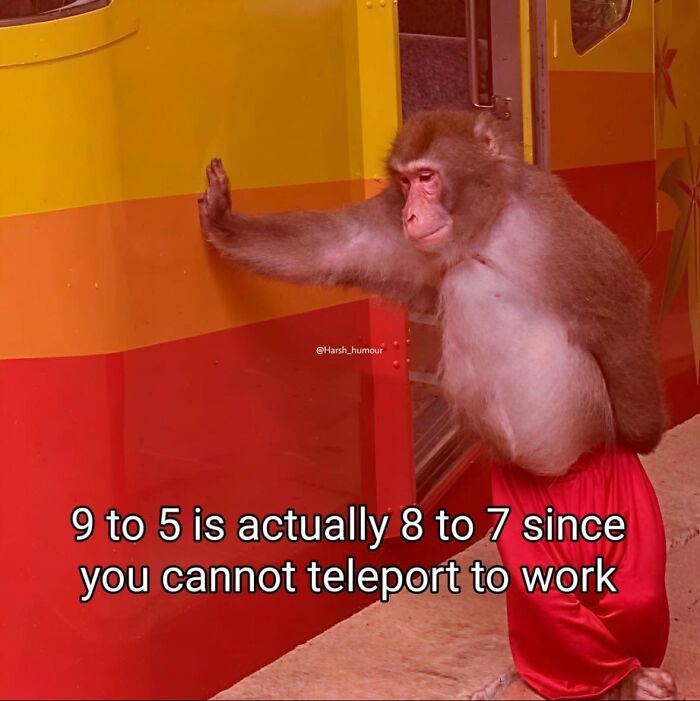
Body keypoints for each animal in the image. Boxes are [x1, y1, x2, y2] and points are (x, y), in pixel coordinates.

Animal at [198, 109, 676, 700]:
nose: (410, 212)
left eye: (427, 178)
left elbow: (619, 305)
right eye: (404, 182)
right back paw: (605, 675)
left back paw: (630, 672)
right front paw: (222, 218)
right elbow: (338, 246)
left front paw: (644, 434)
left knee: (634, 591)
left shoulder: (553, 227)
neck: (481, 234)